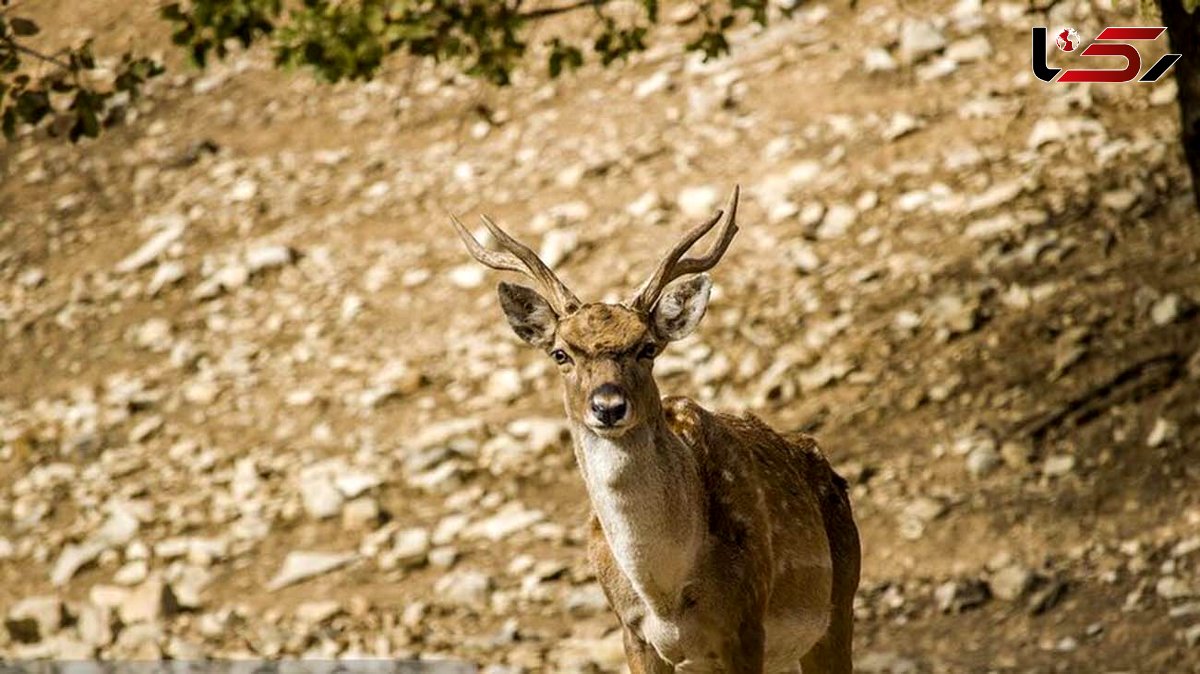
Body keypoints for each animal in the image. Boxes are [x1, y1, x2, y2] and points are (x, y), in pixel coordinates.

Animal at [451, 184, 864, 671]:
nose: (608, 406)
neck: (665, 593)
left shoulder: (747, 623)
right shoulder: (632, 633)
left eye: (647, 347)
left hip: (838, 606)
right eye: (561, 353)